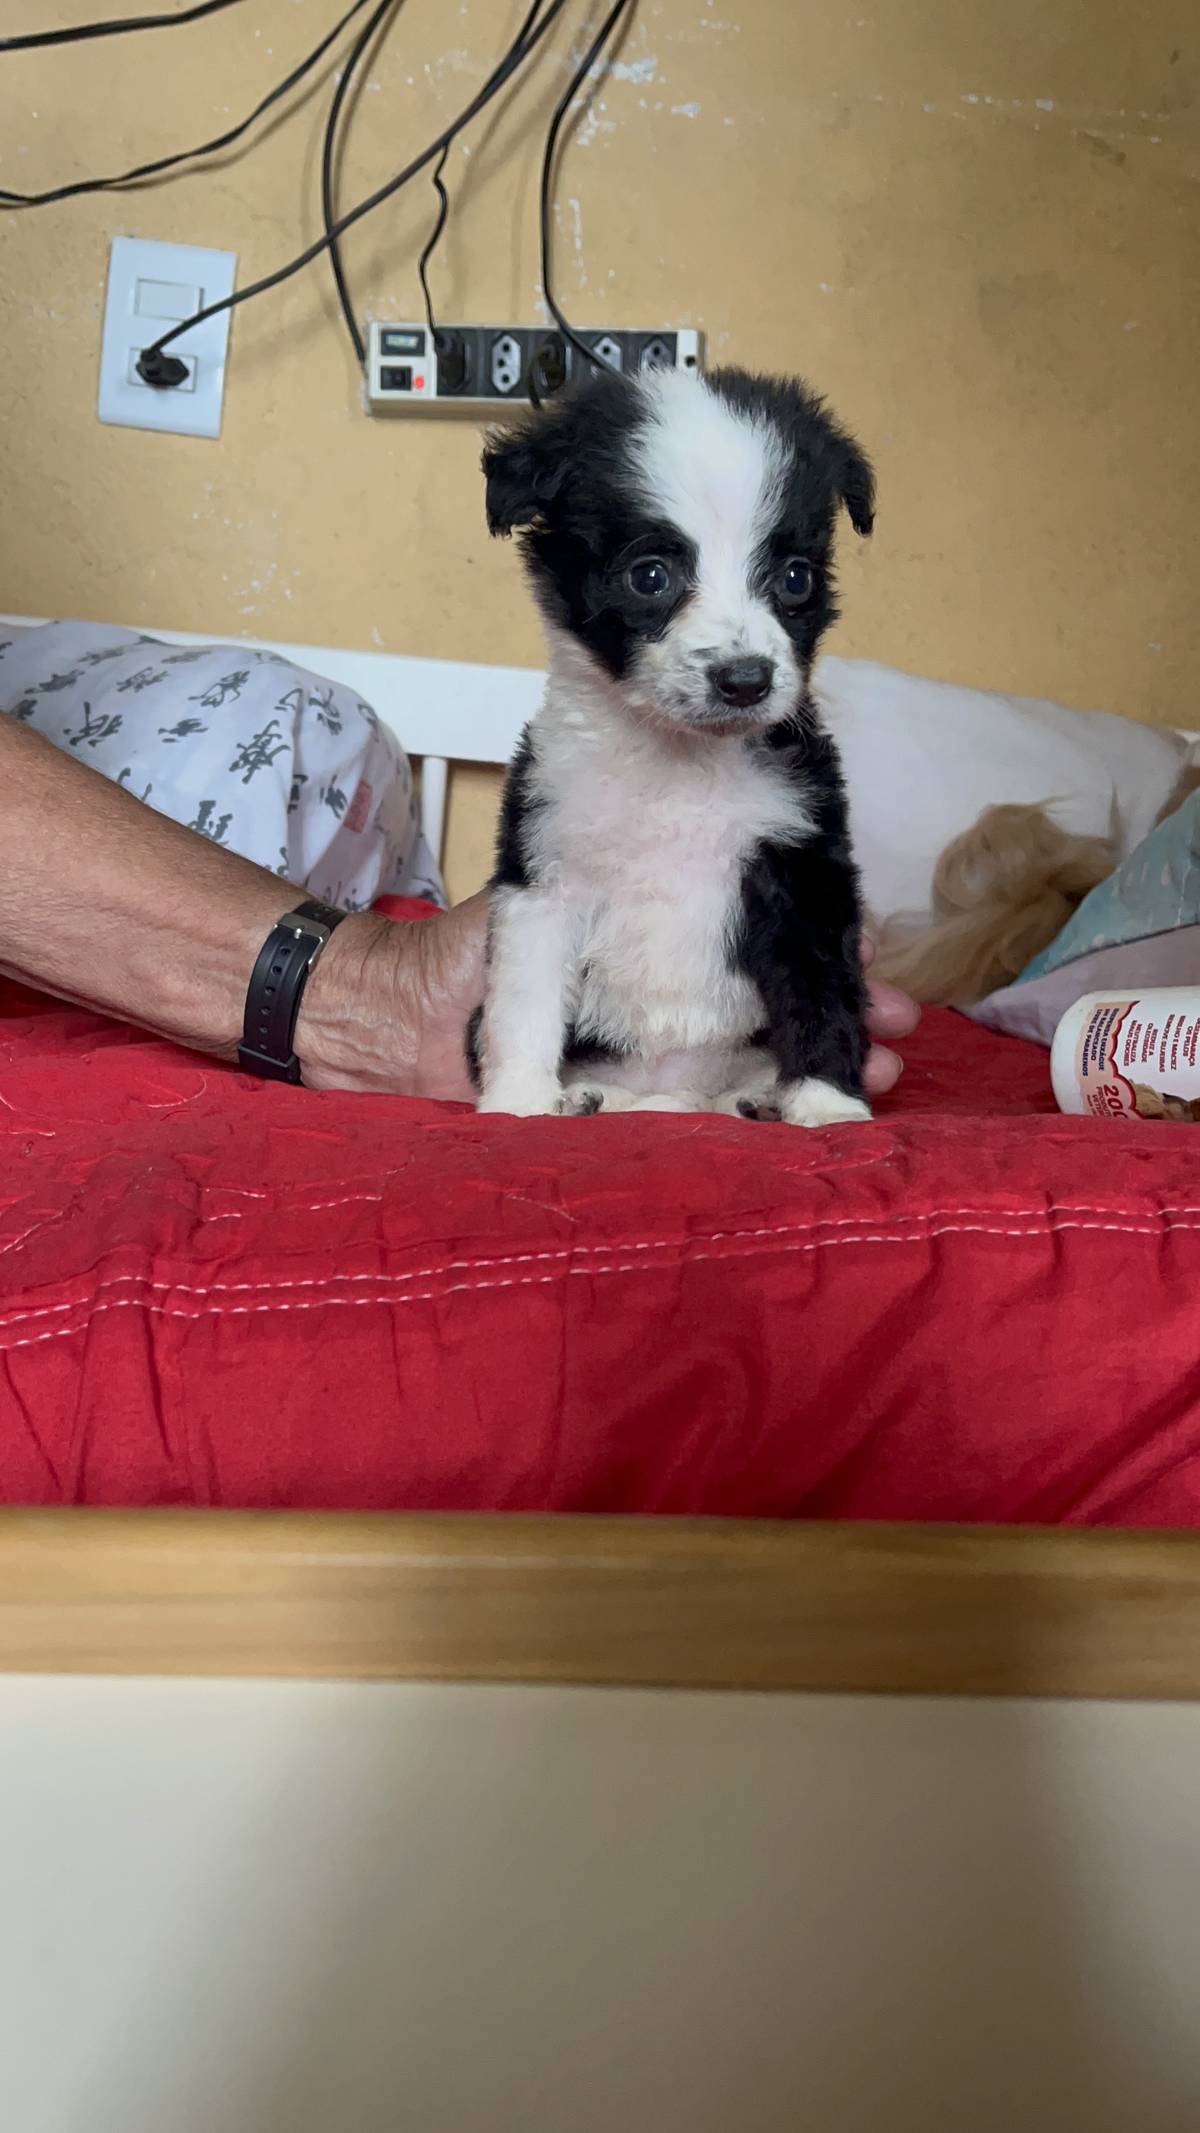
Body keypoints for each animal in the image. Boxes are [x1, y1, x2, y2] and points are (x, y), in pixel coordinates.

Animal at [471, 363, 876, 1126]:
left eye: (796, 578)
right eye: (651, 575)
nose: (745, 680)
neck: (677, 762)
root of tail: (673, 1090)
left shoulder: (800, 865)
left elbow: (822, 989)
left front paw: (827, 1103)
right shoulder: (545, 874)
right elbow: (523, 999)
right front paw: (518, 1101)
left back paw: (754, 1100)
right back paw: (592, 1096)